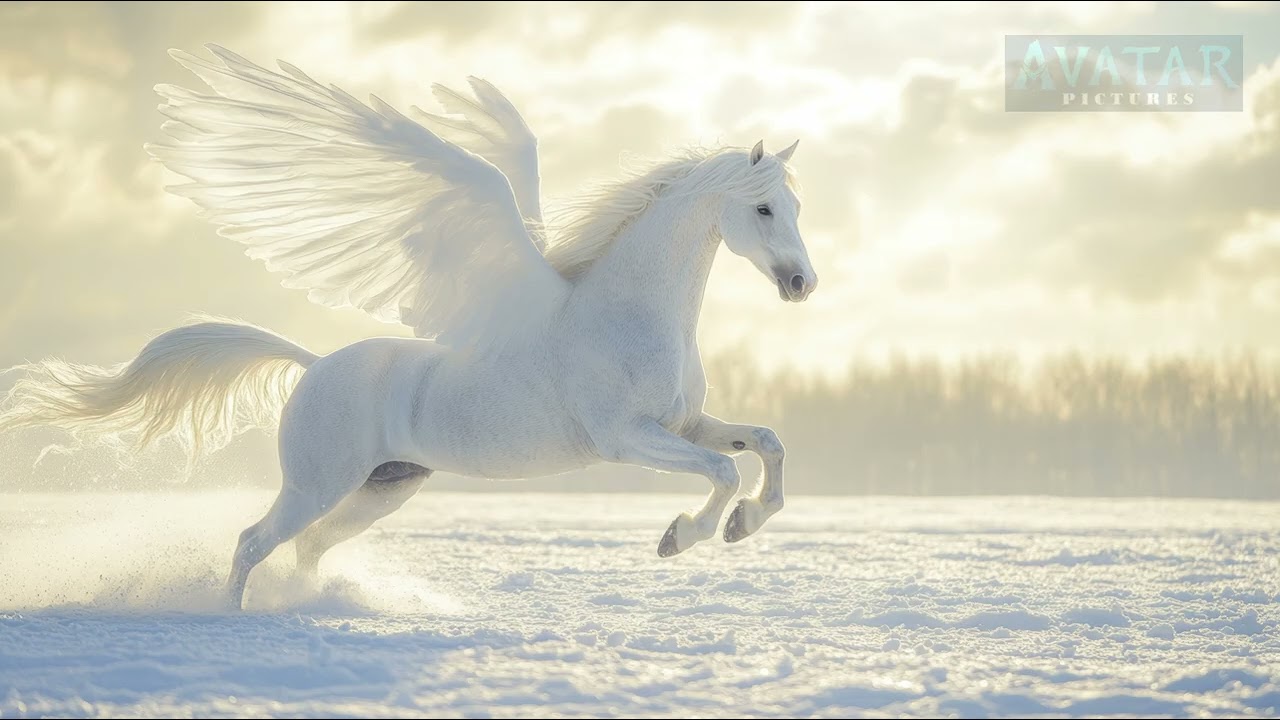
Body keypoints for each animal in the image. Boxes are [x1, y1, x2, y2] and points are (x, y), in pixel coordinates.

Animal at [0, 45, 817, 609]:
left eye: (797, 206)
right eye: (763, 207)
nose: (802, 285)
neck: (630, 315)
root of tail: (311, 365)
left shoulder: (686, 423)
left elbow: (765, 444)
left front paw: (744, 524)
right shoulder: (625, 438)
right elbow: (722, 470)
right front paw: (684, 536)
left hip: (381, 489)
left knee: (305, 547)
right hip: (317, 482)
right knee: (252, 541)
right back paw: (230, 621)